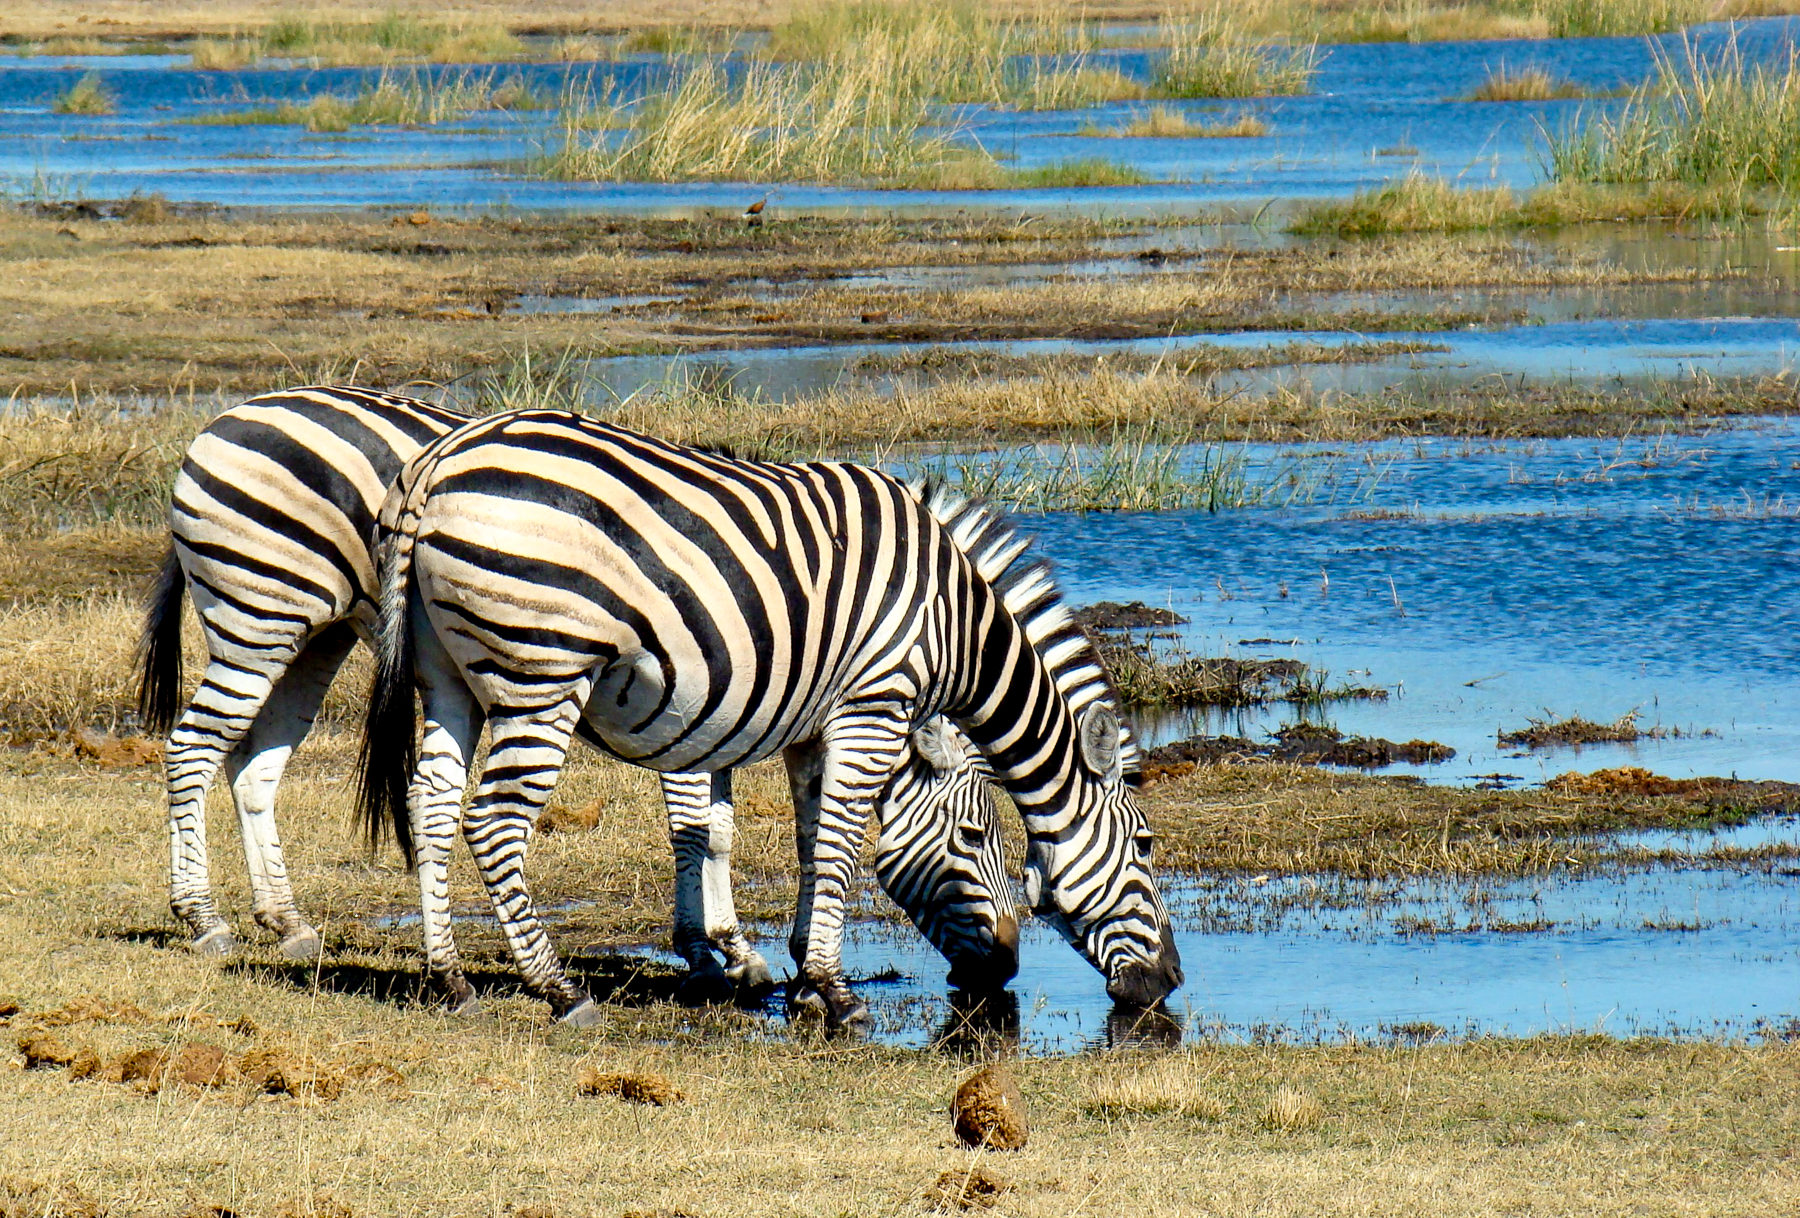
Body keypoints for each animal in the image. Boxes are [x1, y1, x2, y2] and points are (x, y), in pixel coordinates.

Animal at [133, 386, 1022, 1000]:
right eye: (976, 834)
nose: (1008, 966)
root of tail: (226, 419)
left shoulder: (735, 703)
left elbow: (719, 827)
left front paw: (732, 949)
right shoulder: (701, 701)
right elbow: (702, 830)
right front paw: (715, 952)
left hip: (312, 635)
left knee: (254, 762)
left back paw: (286, 923)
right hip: (263, 610)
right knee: (195, 747)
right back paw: (204, 919)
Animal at [358, 410, 1188, 1029]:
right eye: (974, 836)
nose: (1171, 982)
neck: (957, 624)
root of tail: (440, 460)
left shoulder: (815, 726)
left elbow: (809, 841)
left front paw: (802, 975)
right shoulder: (871, 705)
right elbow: (839, 843)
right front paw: (833, 993)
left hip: (446, 673)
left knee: (431, 806)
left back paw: (449, 979)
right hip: (544, 670)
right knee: (493, 821)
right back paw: (559, 990)